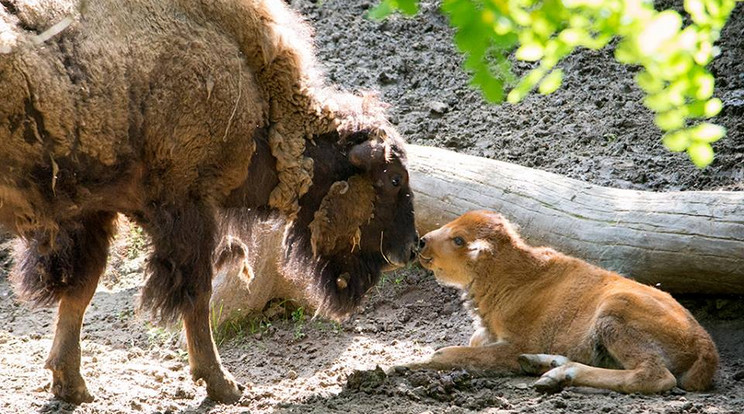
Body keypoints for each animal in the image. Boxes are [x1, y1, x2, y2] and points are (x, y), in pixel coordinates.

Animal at [0, 0, 418, 404]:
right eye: (395, 179)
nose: (411, 248)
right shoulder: (188, 207)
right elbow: (197, 295)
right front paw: (223, 385)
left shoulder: (90, 213)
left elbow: (80, 290)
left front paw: (70, 385)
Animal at [410, 210, 716, 394]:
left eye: (458, 240)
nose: (422, 242)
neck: (510, 273)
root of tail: (705, 345)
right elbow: (473, 341)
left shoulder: (514, 345)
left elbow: (449, 353)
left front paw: (413, 363)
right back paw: (544, 365)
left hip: (614, 312)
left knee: (654, 375)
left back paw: (559, 374)